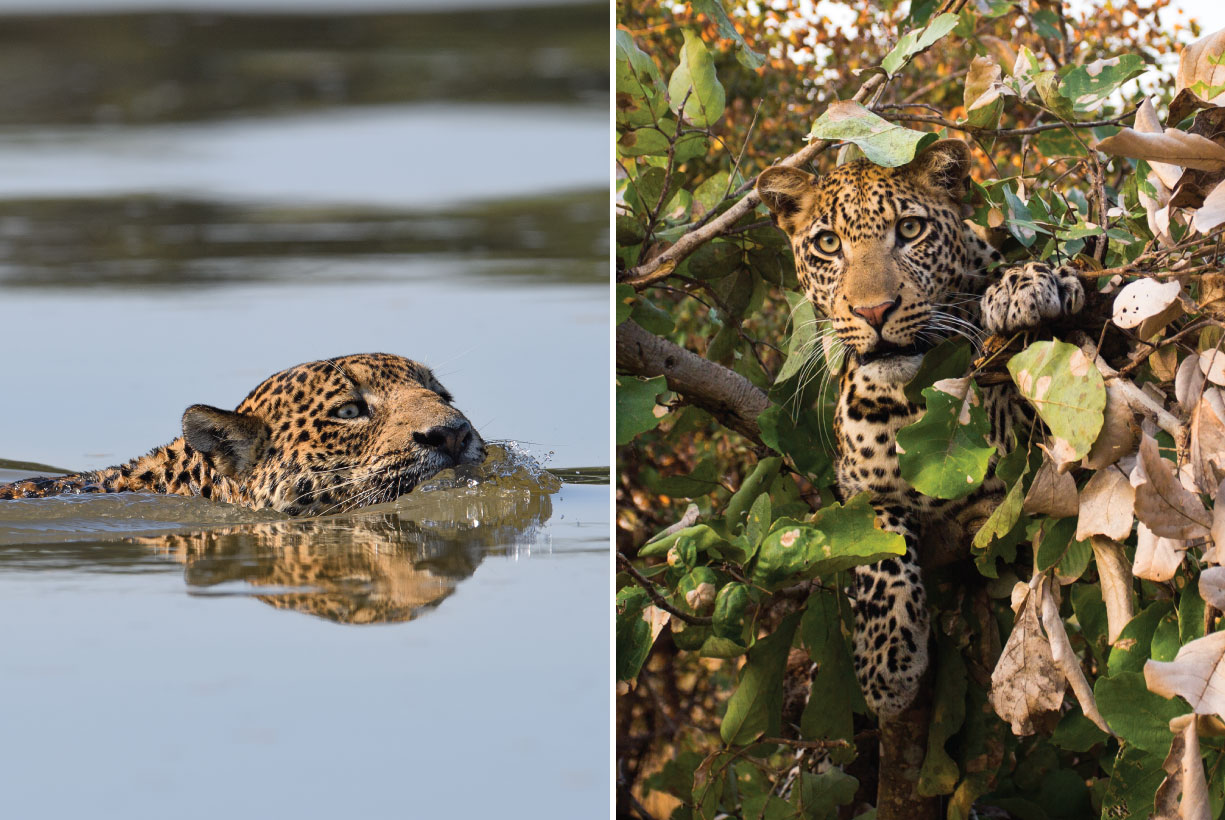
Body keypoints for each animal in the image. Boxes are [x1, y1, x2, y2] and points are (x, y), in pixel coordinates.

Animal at [756, 139, 1085, 719]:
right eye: (827, 244)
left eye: (910, 230)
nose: (874, 311)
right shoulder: (859, 487)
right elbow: (878, 546)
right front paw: (886, 664)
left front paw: (1028, 285)